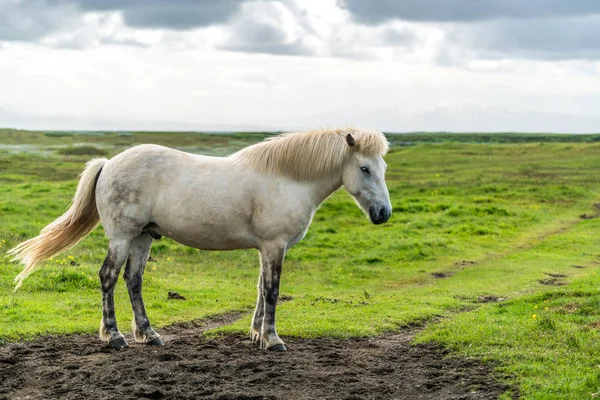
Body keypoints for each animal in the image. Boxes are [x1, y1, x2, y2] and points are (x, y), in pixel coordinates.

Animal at [10, 128, 394, 350]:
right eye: (364, 169)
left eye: (383, 168)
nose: (383, 213)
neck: (286, 178)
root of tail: (109, 163)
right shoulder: (274, 246)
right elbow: (272, 290)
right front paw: (272, 340)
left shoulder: (266, 248)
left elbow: (260, 288)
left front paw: (256, 333)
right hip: (122, 237)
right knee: (108, 277)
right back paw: (115, 336)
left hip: (143, 238)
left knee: (133, 281)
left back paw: (149, 334)